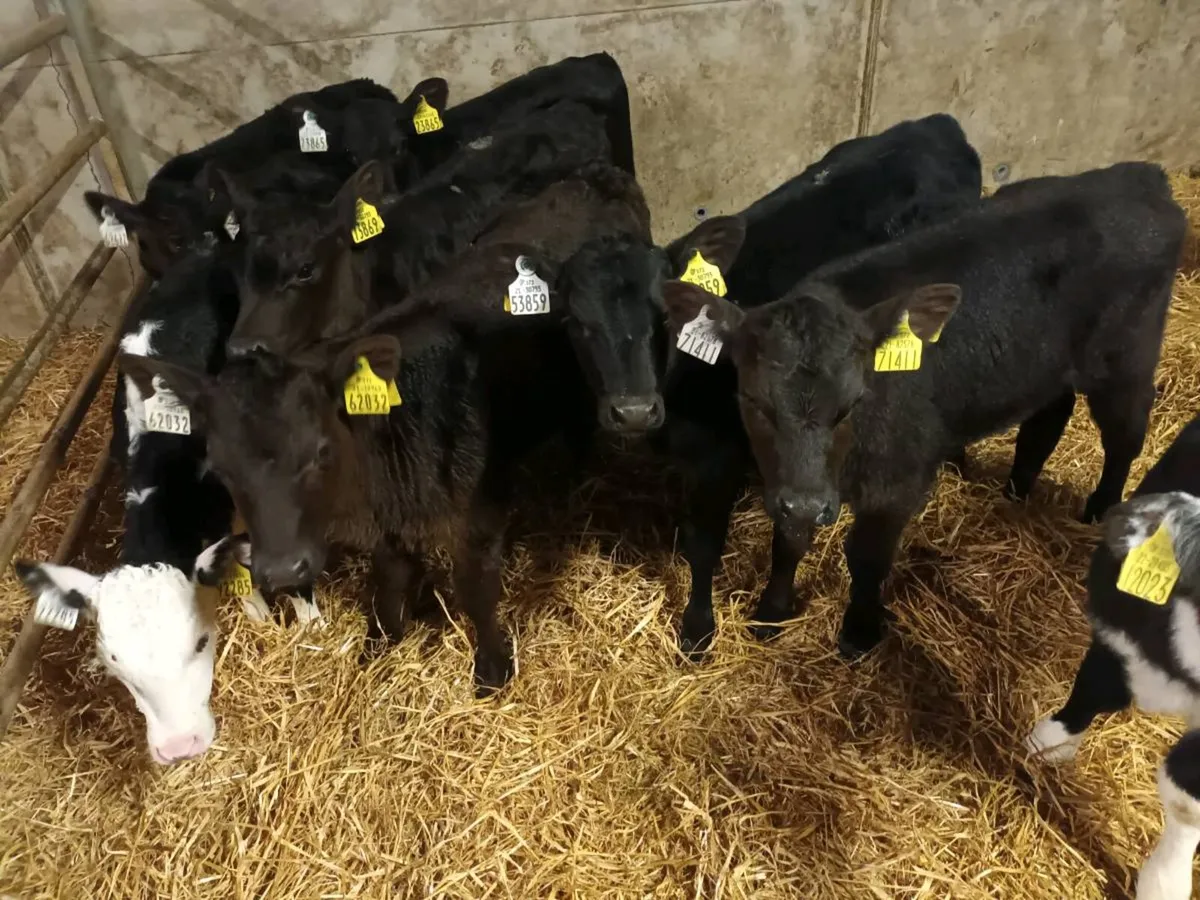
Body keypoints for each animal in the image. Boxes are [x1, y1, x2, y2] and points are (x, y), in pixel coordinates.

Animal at [660, 161, 1185, 659]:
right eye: (754, 401)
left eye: (852, 404)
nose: (809, 504)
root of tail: (1140, 177)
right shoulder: (793, 482)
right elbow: (788, 540)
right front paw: (771, 613)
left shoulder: (898, 484)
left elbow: (866, 558)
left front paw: (858, 633)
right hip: (1048, 364)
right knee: (1047, 420)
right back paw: (1016, 491)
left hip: (1126, 358)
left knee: (1125, 434)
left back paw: (1099, 511)